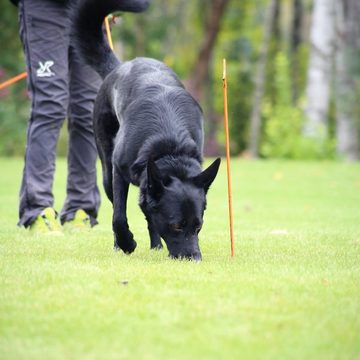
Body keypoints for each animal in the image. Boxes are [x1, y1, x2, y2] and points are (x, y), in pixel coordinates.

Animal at [73, 0, 219, 260]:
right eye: (176, 225)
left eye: (199, 226)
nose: (195, 259)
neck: (169, 145)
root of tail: (121, 66)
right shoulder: (119, 172)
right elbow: (119, 216)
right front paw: (126, 243)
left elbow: (149, 216)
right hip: (106, 171)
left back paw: (155, 245)